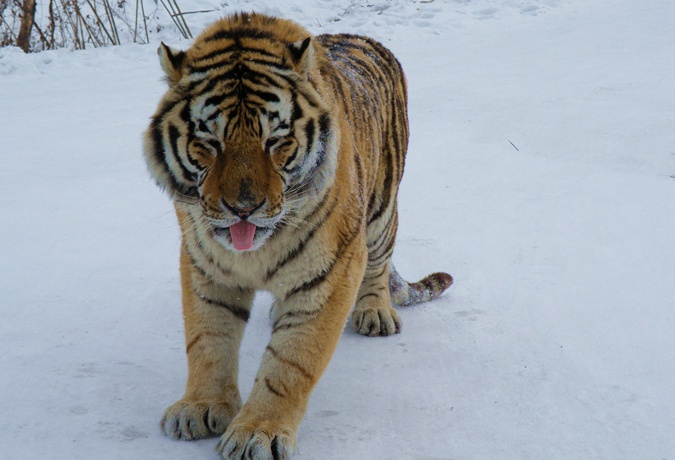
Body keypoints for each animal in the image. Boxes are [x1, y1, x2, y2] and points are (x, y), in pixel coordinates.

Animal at [141, 11, 454, 460]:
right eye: (210, 143)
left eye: (275, 141)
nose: (243, 207)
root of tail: (363, 38)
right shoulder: (204, 264)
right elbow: (207, 339)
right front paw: (201, 406)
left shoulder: (331, 271)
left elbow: (290, 361)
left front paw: (257, 432)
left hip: (381, 210)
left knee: (379, 262)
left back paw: (374, 312)